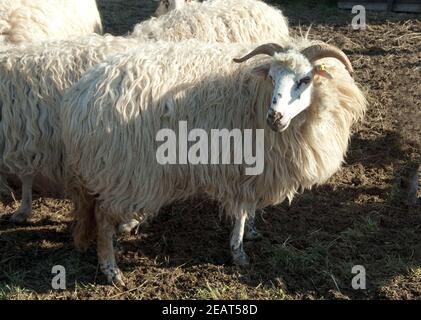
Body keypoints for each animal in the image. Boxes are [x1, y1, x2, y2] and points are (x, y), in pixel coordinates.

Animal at [60, 38, 366, 286]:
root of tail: (81, 96)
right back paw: (111, 269)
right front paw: (238, 251)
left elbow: (249, 209)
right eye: (271, 76)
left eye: (305, 79)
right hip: (124, 169)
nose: (274, 117)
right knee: (102, 217)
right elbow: (240, 212)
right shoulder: (242, 167)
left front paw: (251, 232)